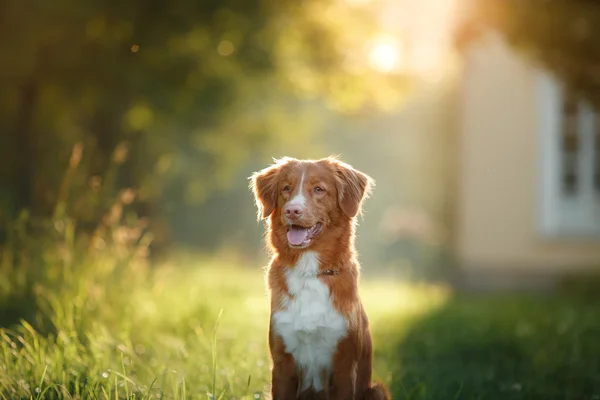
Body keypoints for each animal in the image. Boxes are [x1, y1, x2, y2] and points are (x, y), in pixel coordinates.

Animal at [248, 156, 390, 400]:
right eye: (286, 188)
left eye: (318, 189)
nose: (292, 211)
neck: (309, 272)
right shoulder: (282, 365)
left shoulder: (344, 367)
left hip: (377, 391)